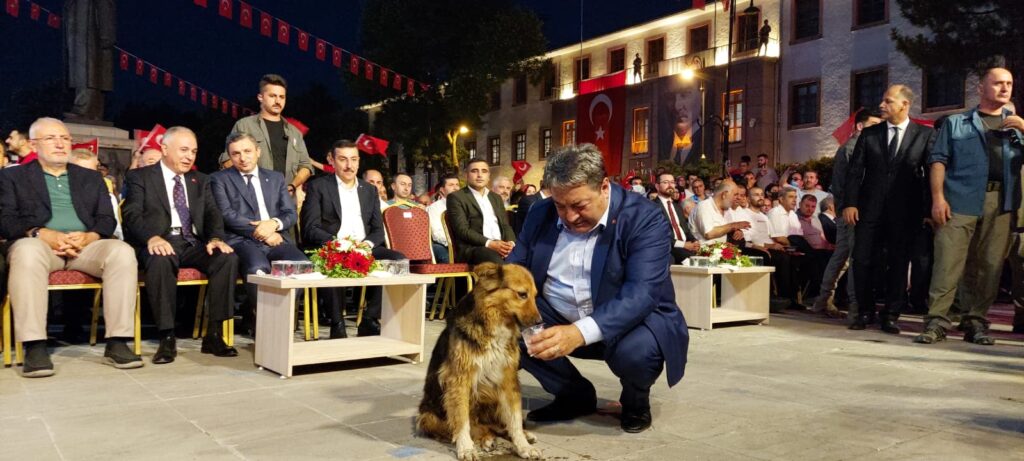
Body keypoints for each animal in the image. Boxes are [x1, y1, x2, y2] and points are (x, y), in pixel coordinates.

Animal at [415, 262, 544, 461]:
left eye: (535, 296)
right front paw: (466, 448)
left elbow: (514, 419)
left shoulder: (508, 378)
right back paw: (486, 438)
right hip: (427, 418)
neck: (494, 322)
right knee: (476, 427)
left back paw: (521, 435)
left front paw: (523, 445)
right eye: (522, 294)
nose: (540, 322)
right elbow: (462, 420)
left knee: (498, 425)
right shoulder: (459, 380)